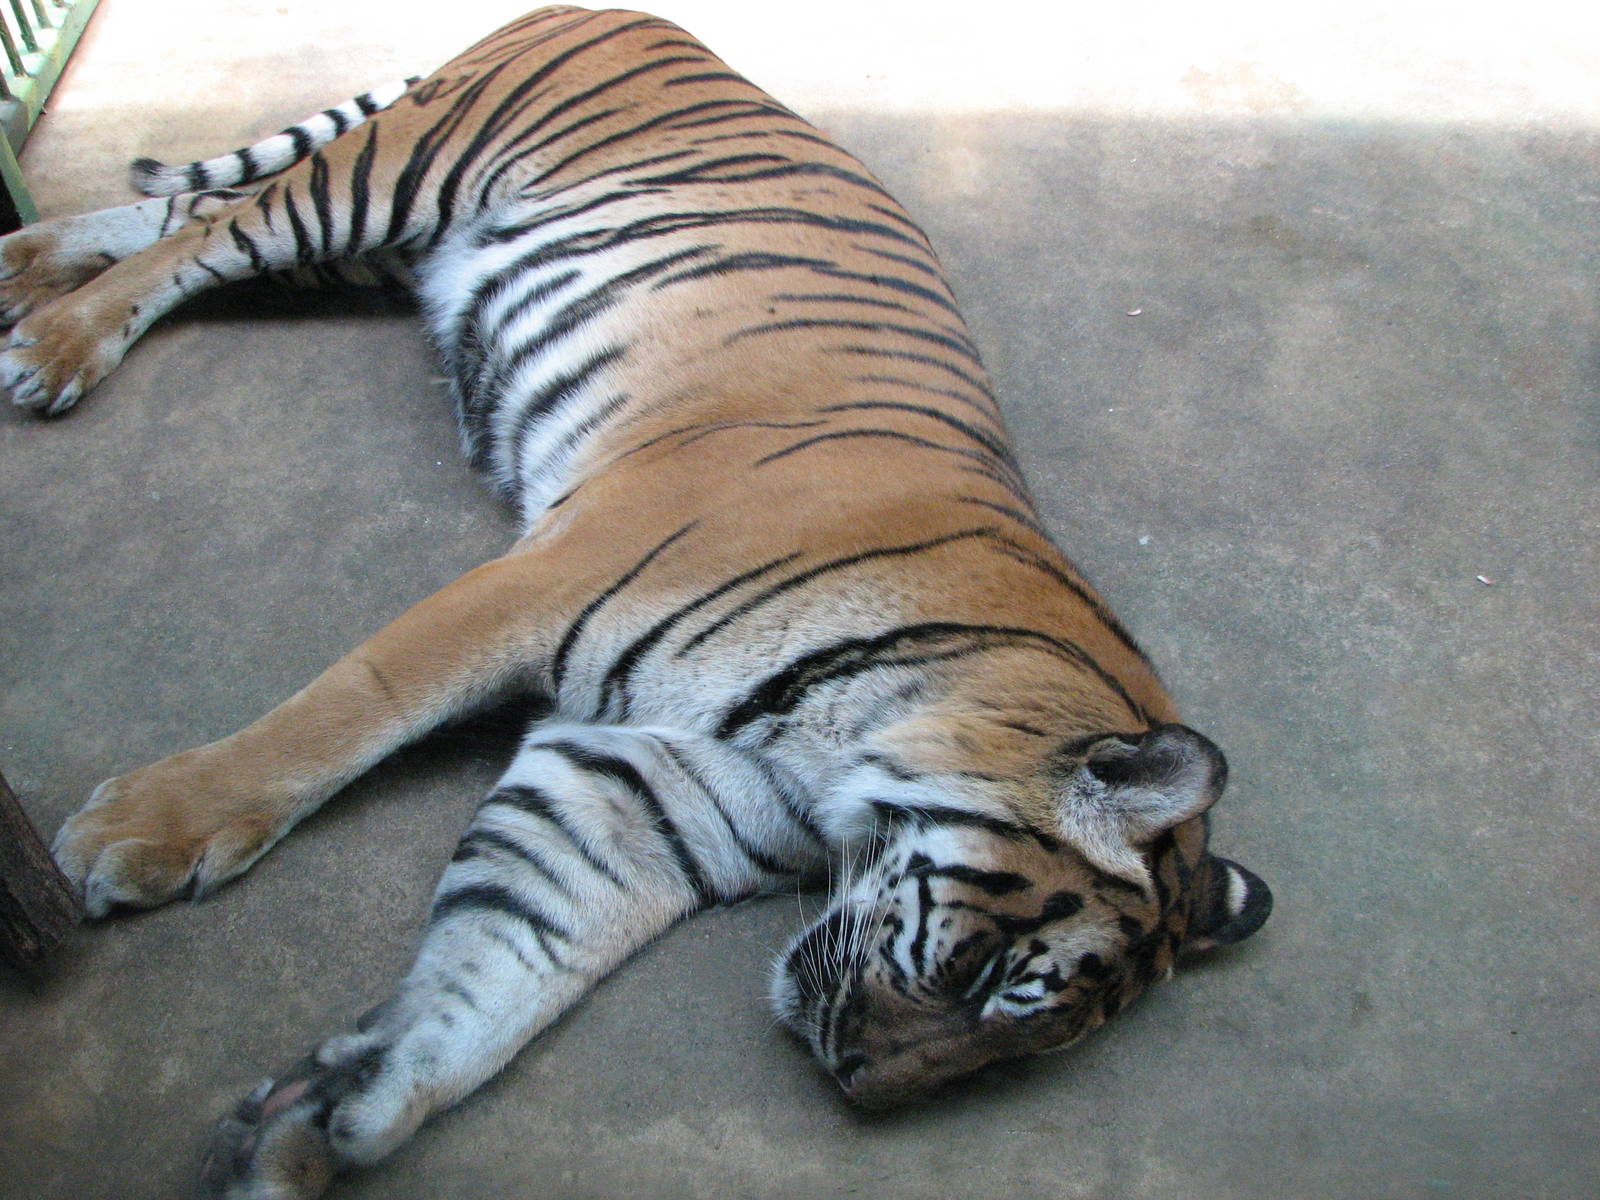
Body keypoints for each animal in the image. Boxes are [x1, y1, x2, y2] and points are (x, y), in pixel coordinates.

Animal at [2, 7, 1272, 1197]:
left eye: (1023, 1038)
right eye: (1002, 982)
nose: (857, 1084)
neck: (849, 755)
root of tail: (641, 15)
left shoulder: (633, 797)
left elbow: (495, 975)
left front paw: (330, 1118)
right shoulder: (537, 583)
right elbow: (340, 715)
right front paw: (140, 831)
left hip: (386, 239)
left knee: (184, 214)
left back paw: (23, 260)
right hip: (391, 176)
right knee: (211, 232)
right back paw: (52, 344)